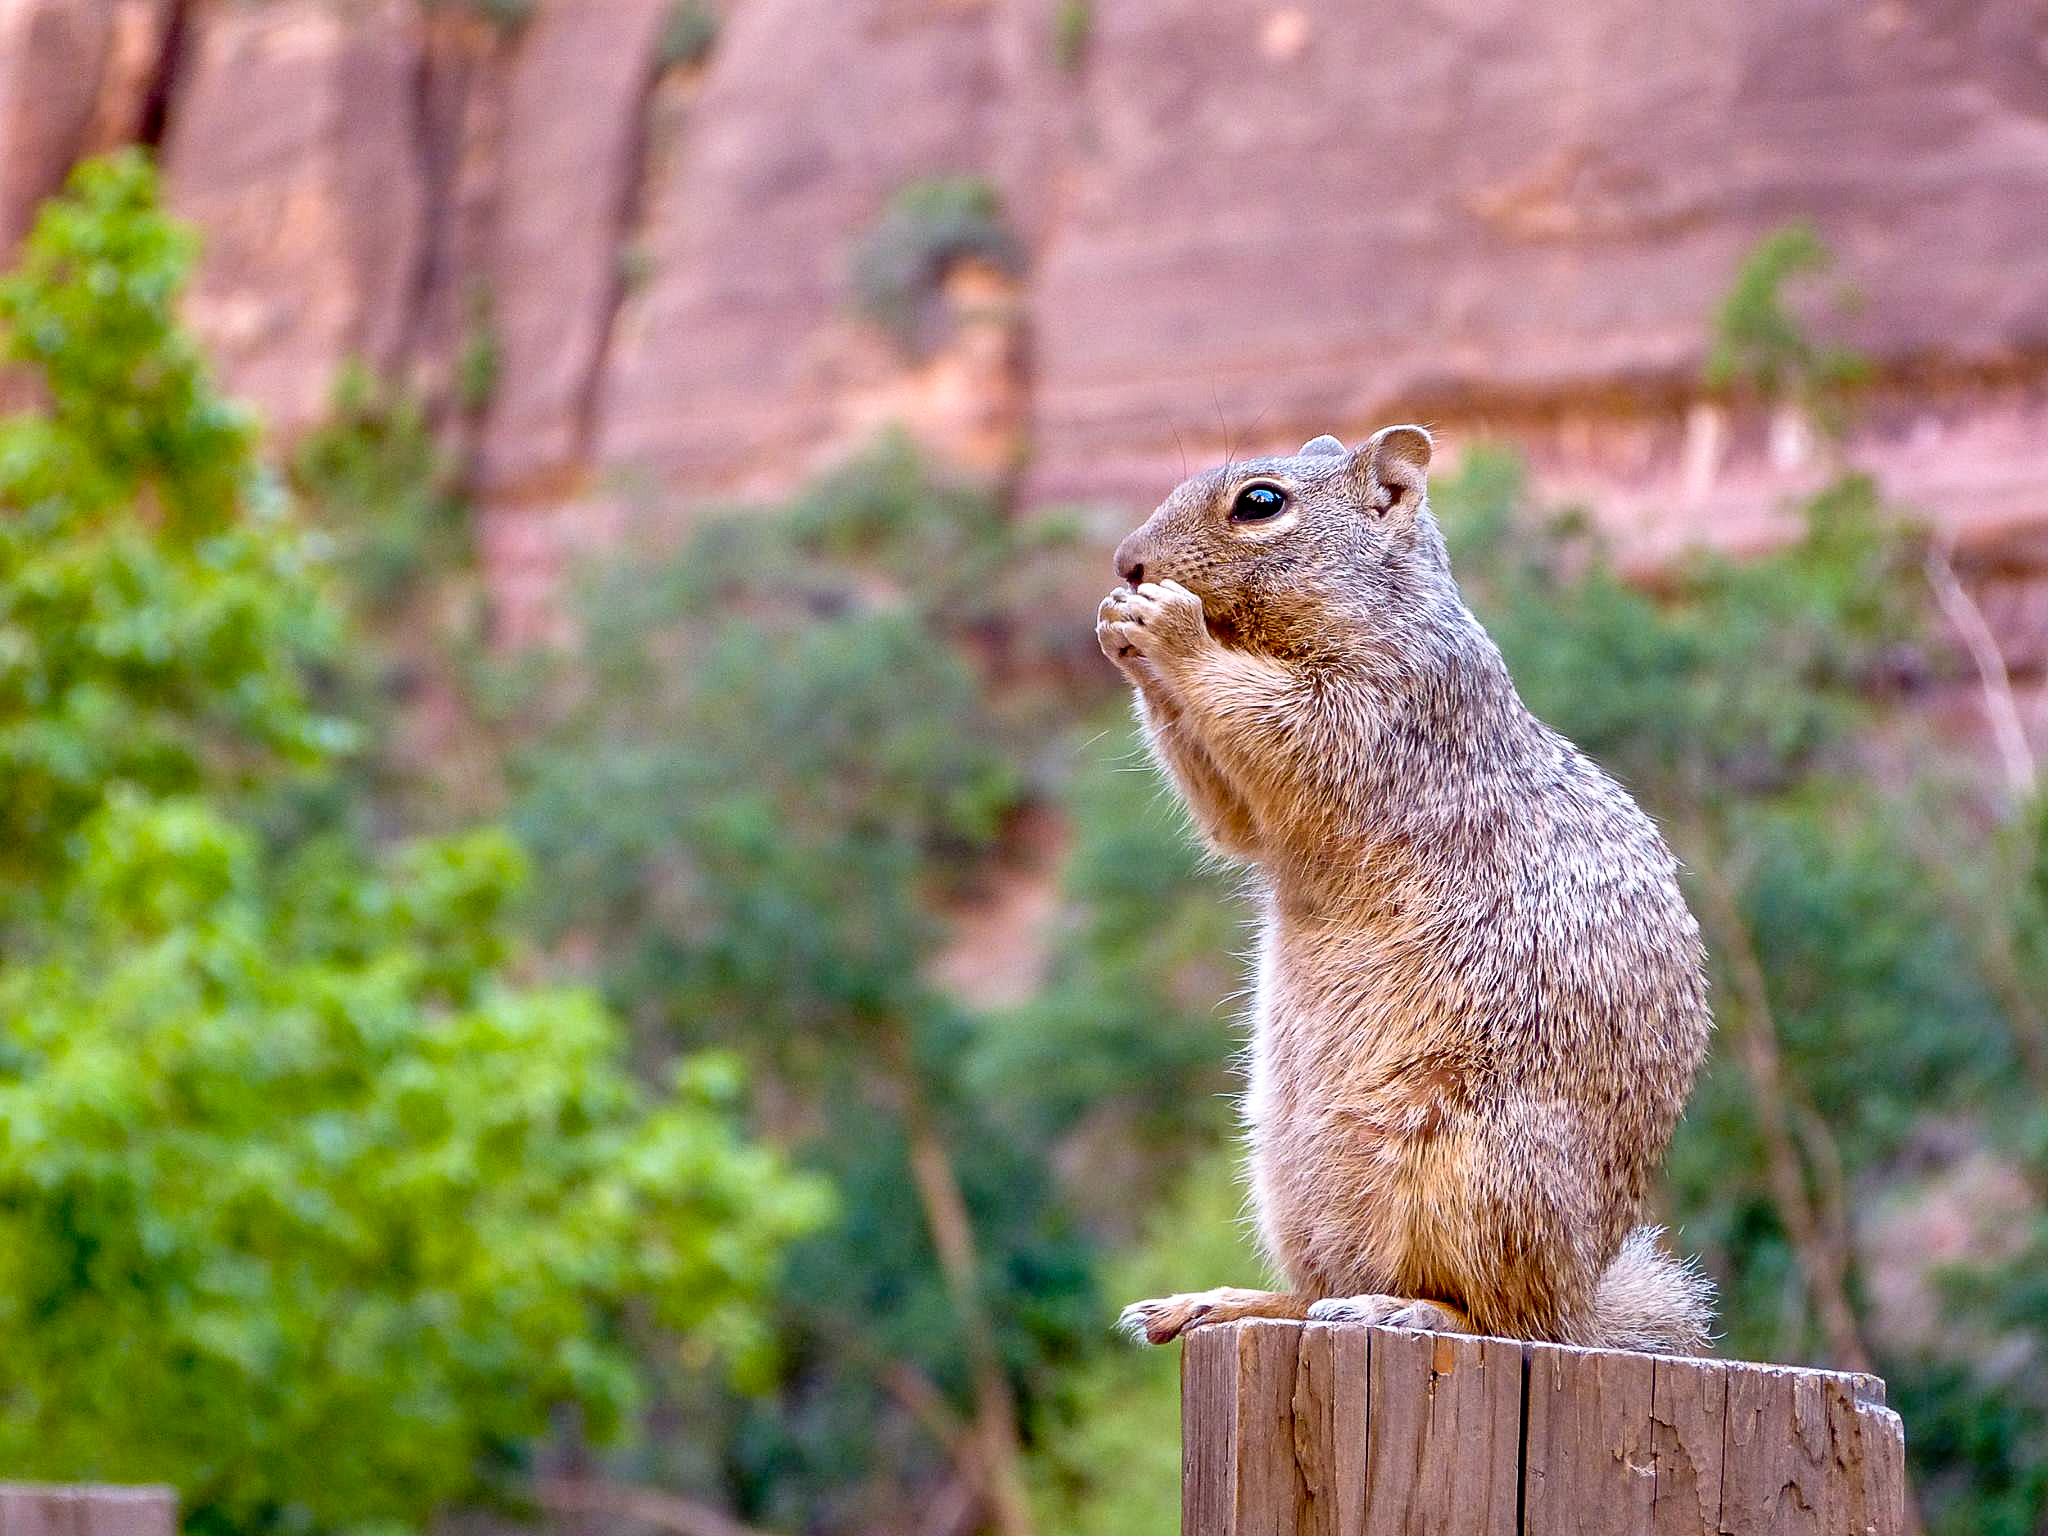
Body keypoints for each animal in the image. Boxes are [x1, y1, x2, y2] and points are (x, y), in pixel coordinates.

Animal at [1105, 428, 1712, 1351]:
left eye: (1260, 502)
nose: (1127, 562)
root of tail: (1585, 1308)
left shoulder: (1386, 710)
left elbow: (1280, 731)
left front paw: (1172, 632)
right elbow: (1233, 816)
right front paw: (1122, 631)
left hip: (1481, 1171)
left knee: (1504, 1317)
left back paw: (1410, 1309)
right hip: (1291, 1177)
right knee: (1321, 1289)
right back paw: (1223, 1303)